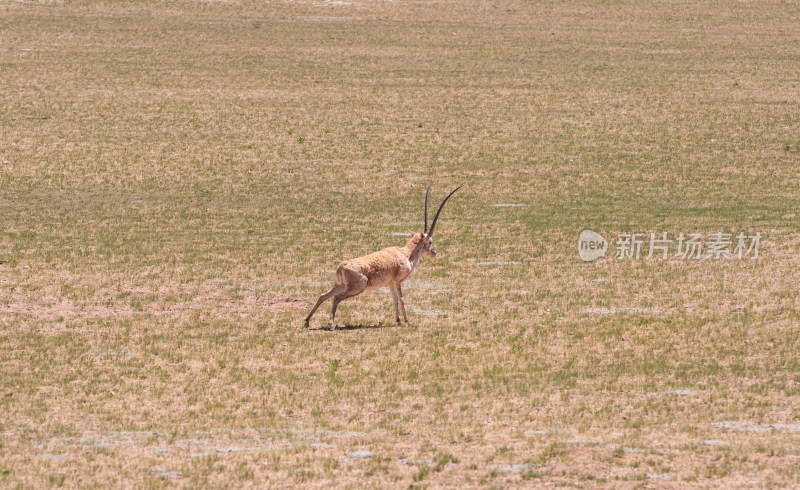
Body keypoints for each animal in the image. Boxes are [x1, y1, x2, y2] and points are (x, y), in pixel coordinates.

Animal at [304, 182, 462, 332]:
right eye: (430, 242)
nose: (434, 252)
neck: (405, 254)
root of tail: (341, 266)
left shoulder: (390, 284)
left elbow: (395, 300)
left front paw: (398, 321)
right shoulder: (398, 281)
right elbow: (402, 299)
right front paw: (408, 322)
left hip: (341, 285)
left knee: (323, 295)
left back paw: (307, 321)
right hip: (356, 288)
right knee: (335, 298)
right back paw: (331, 325)